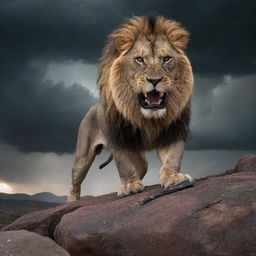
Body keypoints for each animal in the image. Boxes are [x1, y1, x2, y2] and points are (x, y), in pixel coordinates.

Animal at [67, 15, 194, 202]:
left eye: (166, 59)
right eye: (140, 59)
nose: (154, 80)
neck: (147, 118)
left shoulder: (173, 130)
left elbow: (173, 157)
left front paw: (173, 178)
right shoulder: (118, 138)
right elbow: (123, 164)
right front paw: (129, 186)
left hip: (140, 159)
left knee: (140, 168)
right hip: (83, 155)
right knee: (75, 180)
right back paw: (72, 200)